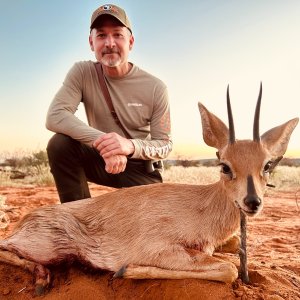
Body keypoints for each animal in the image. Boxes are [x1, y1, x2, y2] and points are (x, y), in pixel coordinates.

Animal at [0, 84, 298, 296]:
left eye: (267, 165)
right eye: (224, 166)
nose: (252, 202)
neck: (203, 206)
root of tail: (25, 219)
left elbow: (235, 250)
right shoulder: (159, 248)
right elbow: (229, 269)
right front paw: (125, 270)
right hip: (46, 248)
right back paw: (42, 279)